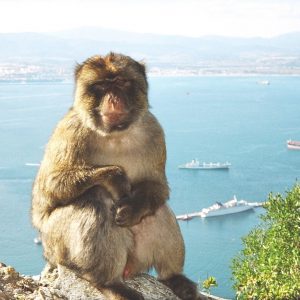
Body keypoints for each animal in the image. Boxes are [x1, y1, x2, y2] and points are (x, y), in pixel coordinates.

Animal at [31, 52, 204, 298]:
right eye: (102, 85)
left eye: (122, 82)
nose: (113, 99)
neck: (115, 134)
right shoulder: (71, 130)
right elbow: (50, 185)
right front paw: (115, 177)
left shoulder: (154, 130)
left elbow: (156, 185)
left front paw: (133, 207)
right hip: (56, 244)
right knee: (95, 198)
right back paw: (108, 282)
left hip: (137, 258)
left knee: (157, 209)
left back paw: (173, 278)